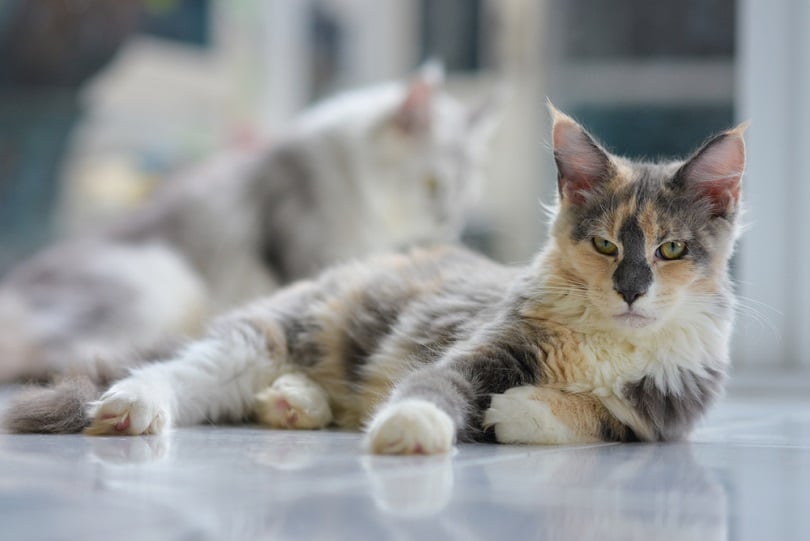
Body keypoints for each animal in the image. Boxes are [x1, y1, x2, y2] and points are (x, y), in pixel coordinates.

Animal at [4, 105, 744, 452]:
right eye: (604, 243)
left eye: (672, 248)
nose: (631, 289)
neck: (606, 343)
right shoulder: (481, 349)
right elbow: (434, 387)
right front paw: (411, 425)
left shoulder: (667, 413)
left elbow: (602, 416)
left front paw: (521, 409)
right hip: (255, 339)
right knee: (171, 373)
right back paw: (134, 406)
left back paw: (294, 401)